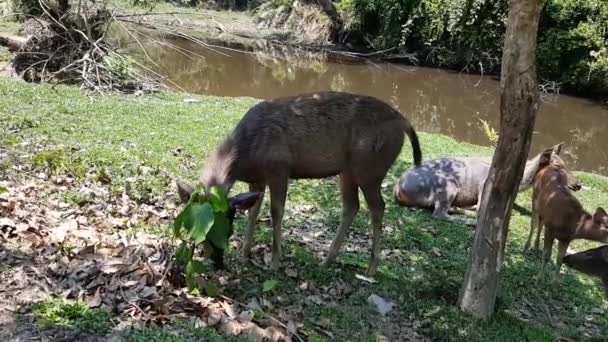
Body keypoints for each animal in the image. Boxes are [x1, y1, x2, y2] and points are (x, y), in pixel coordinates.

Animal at [176, 91, 422, 276]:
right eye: (196, 229)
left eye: (228, 230)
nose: (217, 262)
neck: (245, 156)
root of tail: (404, 122)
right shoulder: (257, 179)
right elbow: (253, 211)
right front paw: (245, 252)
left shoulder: (279, 169)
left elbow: (276, 212)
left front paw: (275, 261)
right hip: (349, 171)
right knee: (352, 206)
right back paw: (328, 260)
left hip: (370, 168)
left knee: (377, 207)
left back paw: (371, 268)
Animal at [392, 142, 580, 226]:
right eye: (557, 165)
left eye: (565, 163)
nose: (578, 184)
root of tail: (398, 189)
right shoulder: (483, 186)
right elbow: (480, 206)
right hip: (448, 184)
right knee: (439, 213)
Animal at [528, 147, 608, 284]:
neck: (575, 224)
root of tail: (547, 167)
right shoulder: (551, 229)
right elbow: (547, 256)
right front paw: (538, 279)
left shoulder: (566, 238)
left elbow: (560, 260)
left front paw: (555, 283)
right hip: (535, 196)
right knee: (534, 222)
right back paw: (526, 246)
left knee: (540, 222)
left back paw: (535, 246)